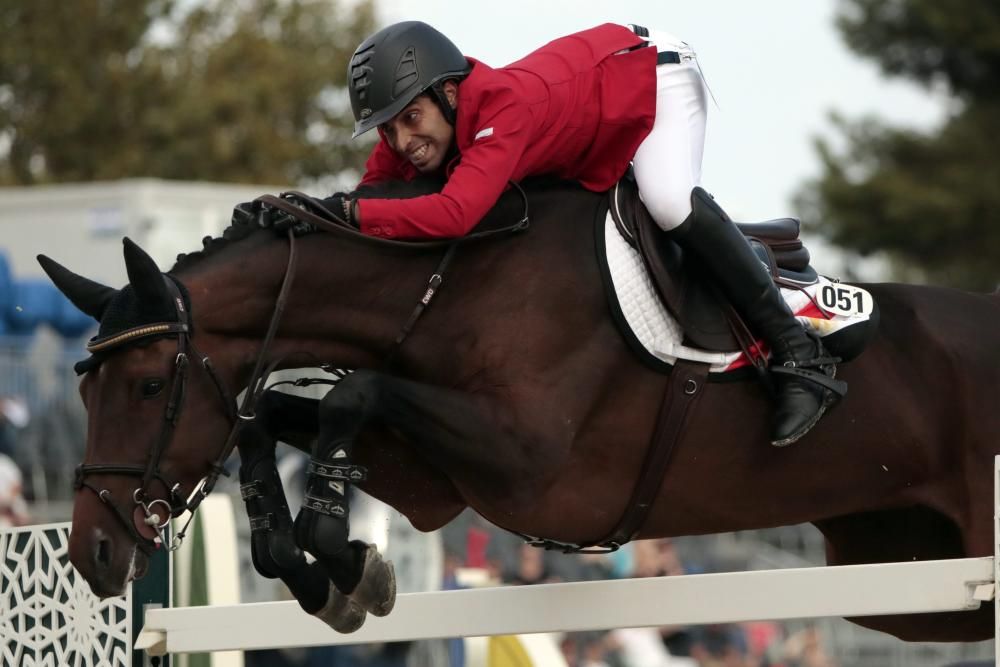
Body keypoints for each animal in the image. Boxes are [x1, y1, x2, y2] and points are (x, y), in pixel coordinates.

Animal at [39, 177, 1000, 640]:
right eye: (82, 388)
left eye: (148, 386)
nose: (92, 552)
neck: (439, 287)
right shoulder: (433, 474)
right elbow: (266, 416)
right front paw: (329, 571)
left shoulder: (531, 461)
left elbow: (345, 391)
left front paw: (340, 553)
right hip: (907, 582)